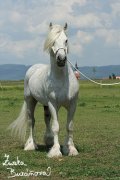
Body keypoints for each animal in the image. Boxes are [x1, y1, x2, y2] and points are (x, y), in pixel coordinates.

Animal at [8, 22, 79, 158]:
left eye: (66, 40)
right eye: (52, 41)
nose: (61, 59)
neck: (62, 79)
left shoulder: (72, 104)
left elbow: (70, 126)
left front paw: (70, 149)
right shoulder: (53, 104)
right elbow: (56, 126)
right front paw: (56, 151)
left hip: (45, 105)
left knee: (46, 119)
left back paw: (49, 141)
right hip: (30, 101)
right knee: (31, 121)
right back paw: (31, 145)